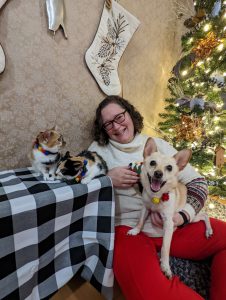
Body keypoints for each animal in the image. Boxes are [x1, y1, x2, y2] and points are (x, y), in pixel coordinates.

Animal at [128, 139, 213, 278]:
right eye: (152, 163)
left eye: (169, 168)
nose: (158, 173)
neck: (156, 197)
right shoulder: (145, 208)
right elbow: (140, 221)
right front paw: (135, 230)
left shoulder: (168, 222)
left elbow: (165, 248)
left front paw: (165, 267)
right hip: (193, 218)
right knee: (204, 215)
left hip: (190, 216)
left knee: (205, 215)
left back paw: (209, 230)